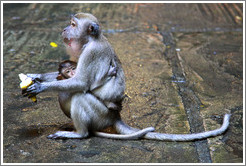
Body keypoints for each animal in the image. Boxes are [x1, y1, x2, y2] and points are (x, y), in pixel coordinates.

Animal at [23, 12, 231, 141]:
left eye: (73, 24)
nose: (65, 29)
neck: (91, 40)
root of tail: (115, 117)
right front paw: (35, 76)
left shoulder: (92, 52)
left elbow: (80, 82)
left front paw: (41, 87)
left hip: (101, 115)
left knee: (79, 96)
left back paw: (80, 133)